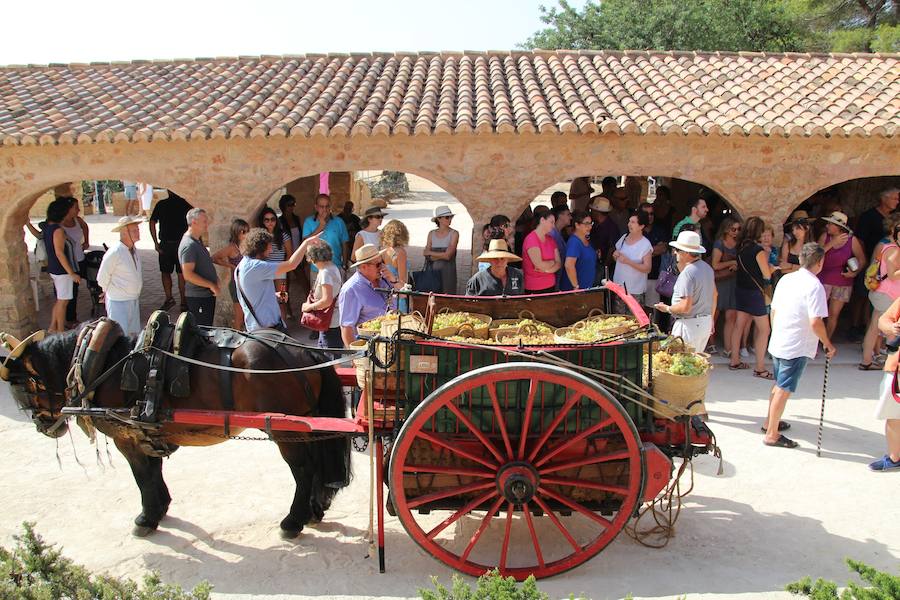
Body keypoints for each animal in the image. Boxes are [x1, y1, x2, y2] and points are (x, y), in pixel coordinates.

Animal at [0, 318, 352, 540]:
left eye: (25, 387)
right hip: (303, 423)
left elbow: (142, 476)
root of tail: (305, 351)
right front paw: (162, 506)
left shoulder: (126, 436)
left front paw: (147, 517)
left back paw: (293, 521)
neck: (104, 362)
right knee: (315, 466)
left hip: (284, 430)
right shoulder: (145, 430)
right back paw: (314, 510)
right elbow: (154, 470)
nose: (42, 425)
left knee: (304, 470)